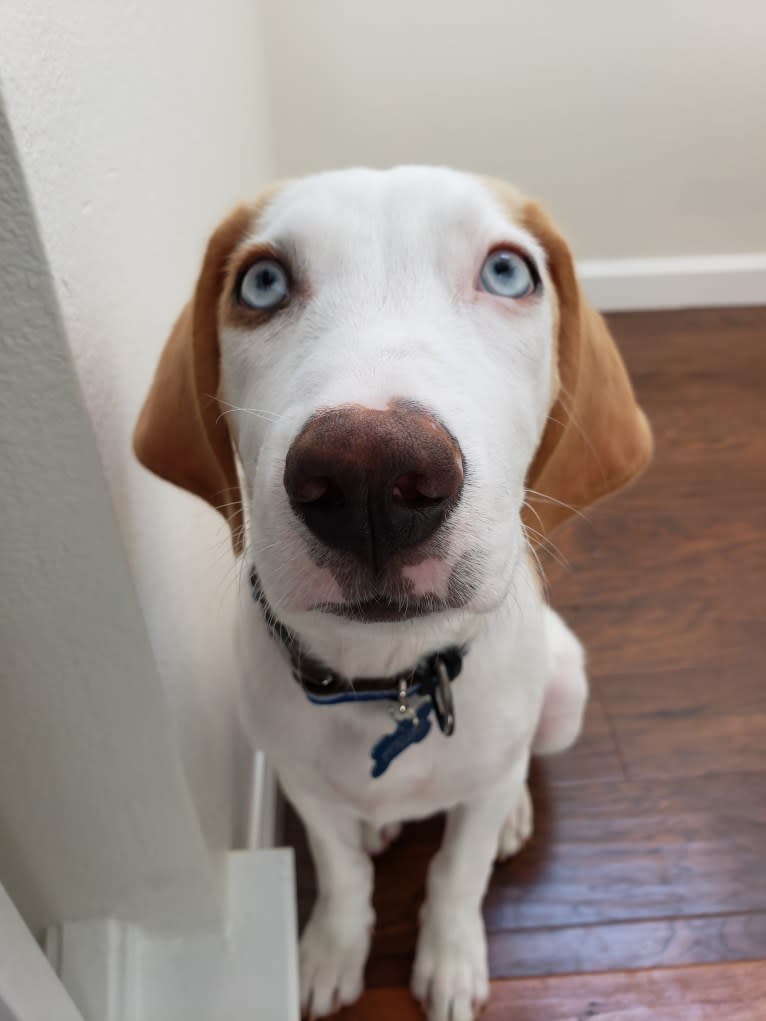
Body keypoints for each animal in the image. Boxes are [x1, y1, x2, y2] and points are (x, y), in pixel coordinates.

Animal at [134, 167, 649, 1021]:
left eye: (508, 272)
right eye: (262, 283)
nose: (371, 474)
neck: (389, 678)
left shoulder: (482, 775)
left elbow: (458, 872)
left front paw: (450, 955)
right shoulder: (300, 781)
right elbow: (342, 873)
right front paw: (330, 950)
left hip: (566, 688)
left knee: (516, 766)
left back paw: (512, 812)